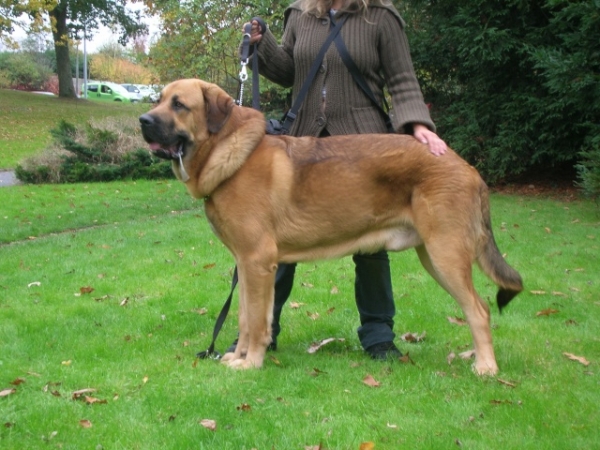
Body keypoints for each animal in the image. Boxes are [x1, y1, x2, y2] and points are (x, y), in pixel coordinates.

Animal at [138, 78, 524, 376]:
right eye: (159, 99)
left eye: (179, 104)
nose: (142, 120)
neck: (226, 152)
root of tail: (468, 167)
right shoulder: (247, 265)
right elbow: (248, 317)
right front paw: (238, 355)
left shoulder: (257, 262)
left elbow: (257, 321)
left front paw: (251, 364)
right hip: (432, 255)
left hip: (446, 254)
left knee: (479, 310)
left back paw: (486, 367)